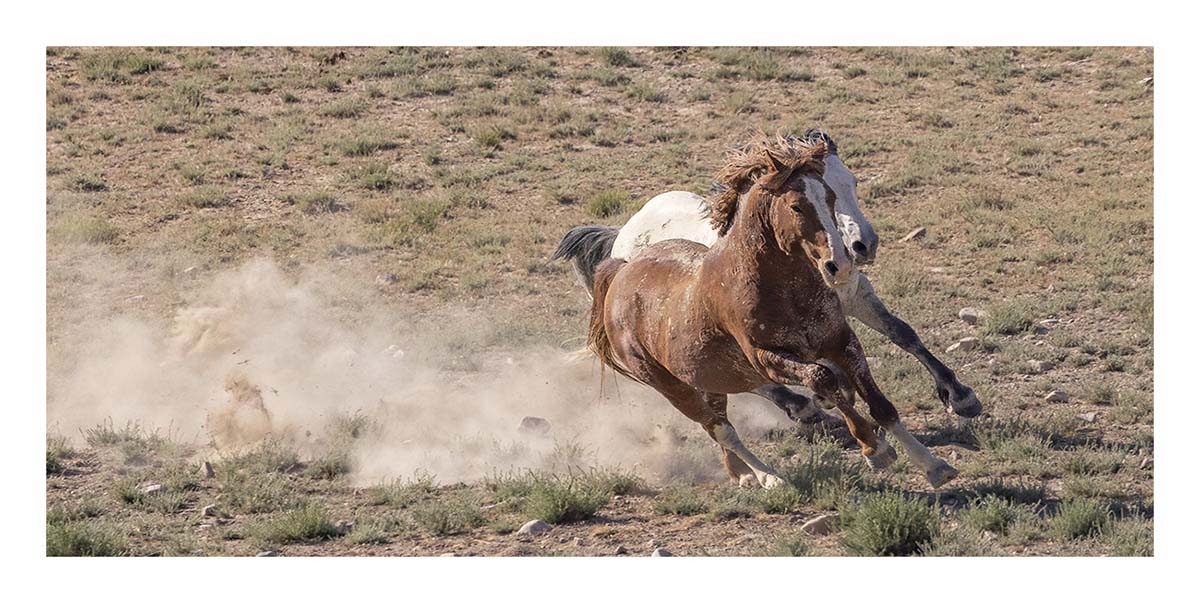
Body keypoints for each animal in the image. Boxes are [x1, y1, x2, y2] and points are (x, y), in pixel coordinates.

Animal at [579, 135, 958, 489]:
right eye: (797, 206)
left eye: (840, 190)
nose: (848, 258)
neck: (782, 289)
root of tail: (620, 267)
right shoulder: (768, 358)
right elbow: (823, 377)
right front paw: (873, 448)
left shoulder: (843, 336)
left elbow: (883, 389)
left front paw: (934, 459)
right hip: (674, 386)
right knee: (722, 428)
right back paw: (770, 474)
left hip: (708, 376)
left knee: (723, 422)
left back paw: (742, 472)